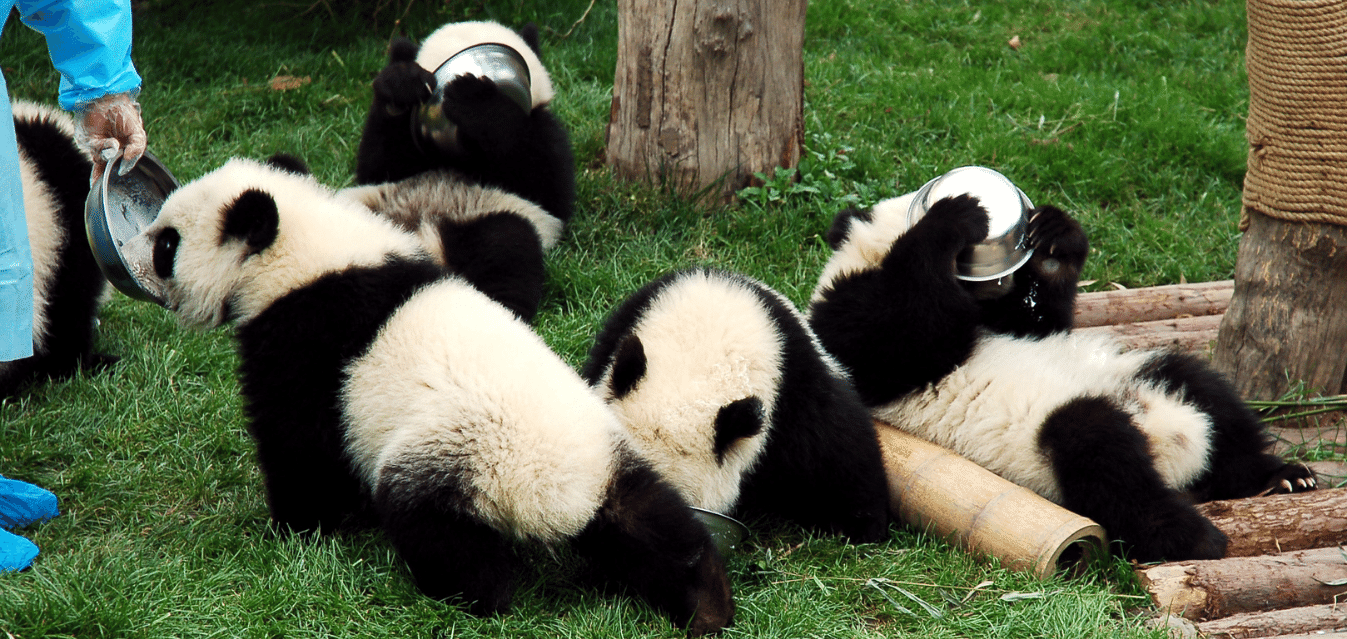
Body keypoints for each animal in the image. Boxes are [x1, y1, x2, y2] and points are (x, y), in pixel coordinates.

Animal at [117, 157, 734, 635]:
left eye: (168, 241)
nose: (129, 252)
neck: (304, 252)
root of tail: (560, 498)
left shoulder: (308, 340)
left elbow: (300, 443)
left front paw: (295, 528)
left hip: (458, 456)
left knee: (435, 529)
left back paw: (472, 598)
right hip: (607, 458)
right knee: (652, 523)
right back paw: (706, 602)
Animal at [355, 20, 575, 226]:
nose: (468, 141)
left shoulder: (543, 128)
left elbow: (548, 189)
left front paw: (477, 103)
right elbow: (379, 171)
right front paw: (402, 82)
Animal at [807, 192, 1317, 562]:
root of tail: (1173, 445)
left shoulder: (1005, 317)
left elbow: (1038, 322)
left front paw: (1054, 240)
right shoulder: (848, 326)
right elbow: (903, 335)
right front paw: (951, 217)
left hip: (1136, 374)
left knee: (1203, 391)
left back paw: (1280, 477)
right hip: (1041, 450)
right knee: (1101, 458)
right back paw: (1188, 537)